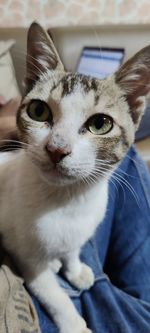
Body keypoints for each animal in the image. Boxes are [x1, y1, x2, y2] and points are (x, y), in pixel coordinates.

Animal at [0, 21, 149, 332]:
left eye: (100, 124)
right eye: (38, 110)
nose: (57, 149)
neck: (67, 201)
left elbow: (72, 250)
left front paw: (75, 268)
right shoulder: (25, 257)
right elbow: (55, 295)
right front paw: (74, 323)